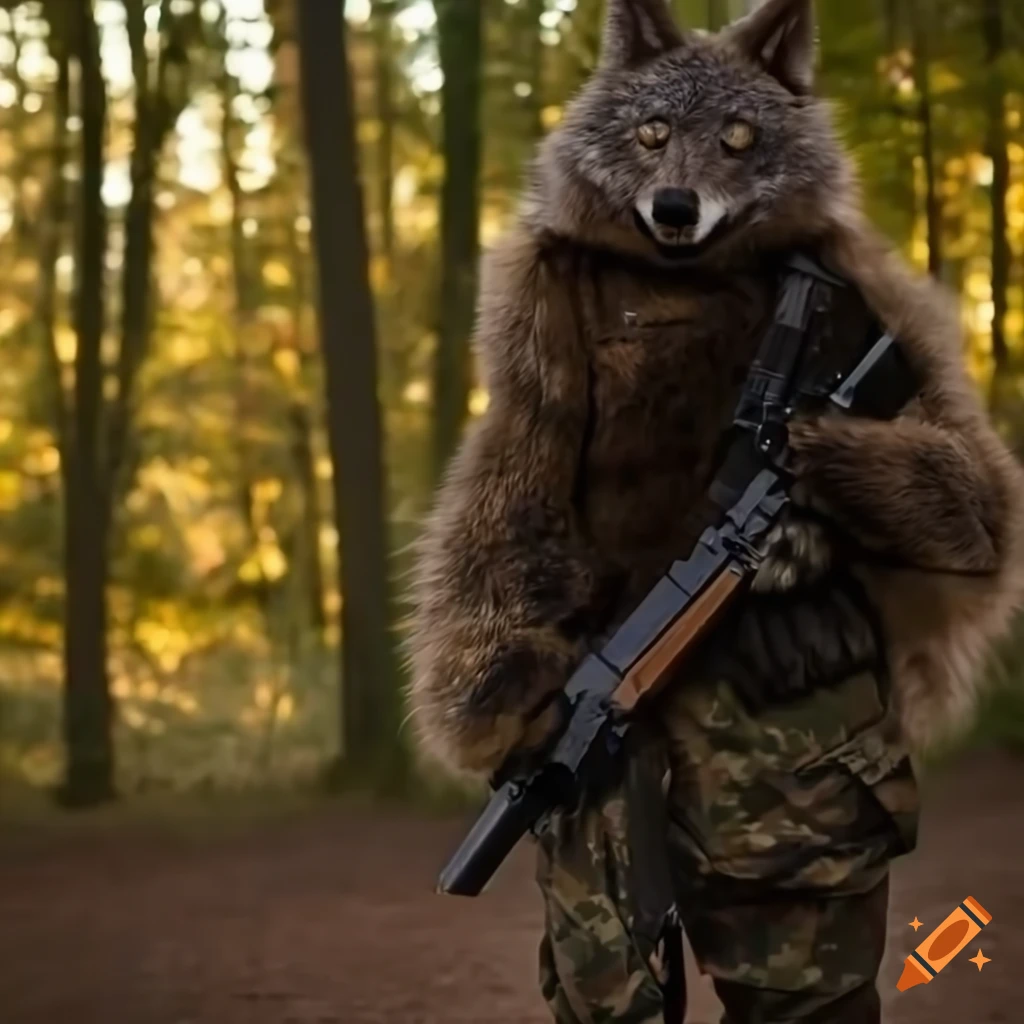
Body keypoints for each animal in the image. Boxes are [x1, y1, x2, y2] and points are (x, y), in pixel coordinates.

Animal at [407, 0, 1024, 1020]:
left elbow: (983, 501)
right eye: (652, 133)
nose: (673, 207)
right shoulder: (532, 346)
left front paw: (795, 539)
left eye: (739, 138)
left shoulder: (882, 300)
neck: (685, 275)